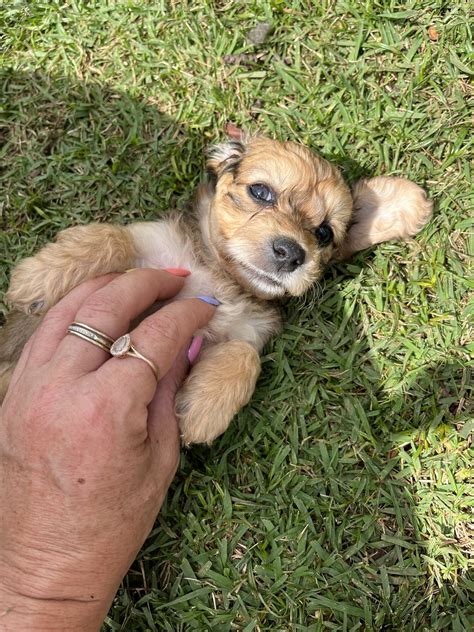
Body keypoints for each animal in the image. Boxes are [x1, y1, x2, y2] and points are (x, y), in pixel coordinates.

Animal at [0, 137, 432, 444]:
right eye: (261, 192)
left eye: (324, 233)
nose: (291, 253)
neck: (220, 277)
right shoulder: (149, 241)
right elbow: (113, 237)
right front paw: (36, 279)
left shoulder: (246, 331)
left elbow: (244, 355)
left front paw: (202, 409)